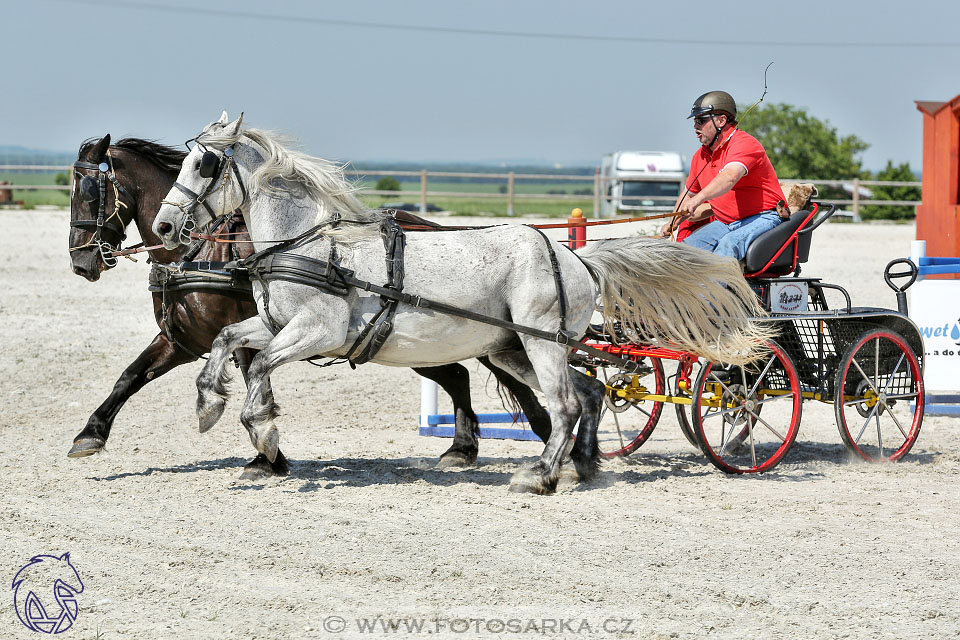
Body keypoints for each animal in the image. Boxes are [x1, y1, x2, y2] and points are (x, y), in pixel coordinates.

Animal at [67, 134, 552, 476]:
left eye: (90, 191)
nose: (81, 261)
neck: (197, 254)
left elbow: (256, 383)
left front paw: (268, 455)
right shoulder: (181, 341)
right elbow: (130, 377)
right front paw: (89, 435)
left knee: (490, 373)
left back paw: (537, 435)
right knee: (459, 375)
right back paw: (465, 448)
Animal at [156, 112, 772, 496]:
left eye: (205, 165)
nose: (163, 227)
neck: (305, 245)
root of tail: (576, 258)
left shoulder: (317, 332)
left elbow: (260, 366)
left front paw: (263, 432)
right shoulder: (275, 323)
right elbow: (229, 343)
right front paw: (210, 405)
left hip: (538, 341)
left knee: (564, 403)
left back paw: (541, 477)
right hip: (511, 348)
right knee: (588, 393)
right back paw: (582, 465)